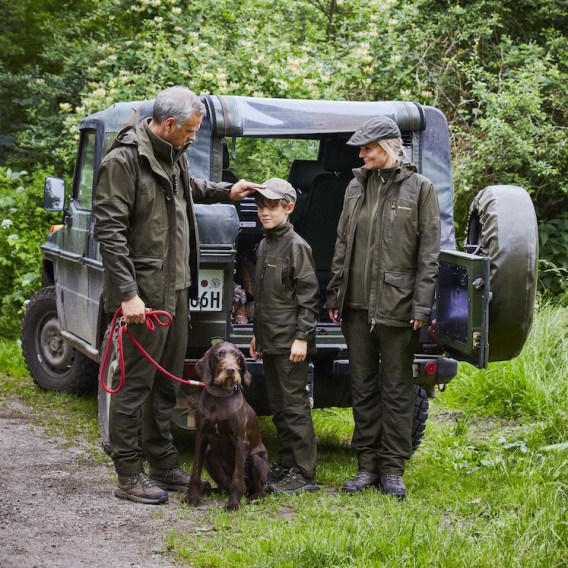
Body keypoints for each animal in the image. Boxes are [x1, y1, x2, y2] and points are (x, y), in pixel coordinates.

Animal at [183, 344, 270, 512]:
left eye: (236, 356)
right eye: (219, 354)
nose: (231, 370)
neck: (220, 396)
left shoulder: (240, 440)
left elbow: (237, 477)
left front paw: (233, 503)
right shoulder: (201, 436)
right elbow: (195, 472)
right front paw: (192, 497)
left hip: (258, 459)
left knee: (257, 488)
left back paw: (255, 496)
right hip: (209, 455)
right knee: (225, 485)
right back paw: (213, 490)